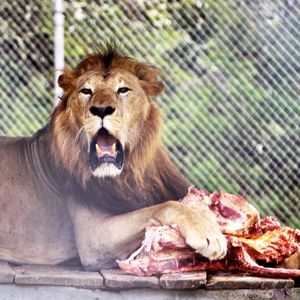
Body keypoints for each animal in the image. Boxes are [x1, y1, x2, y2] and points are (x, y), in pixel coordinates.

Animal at [0, 45, 226, 272]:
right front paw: (208, 231)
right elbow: (166, 205)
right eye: (86, 91)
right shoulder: (94, 238)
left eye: (123, 90)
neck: (130, 173)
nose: (101, 110)